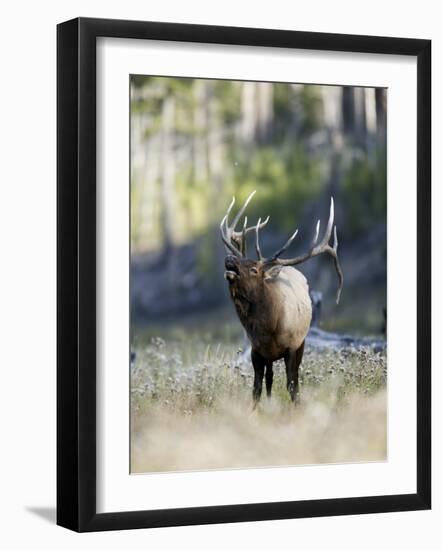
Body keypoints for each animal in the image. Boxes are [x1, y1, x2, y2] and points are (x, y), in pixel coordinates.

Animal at [219, 192, 344, 408]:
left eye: (254, 269)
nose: (230, 259)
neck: (270, 327)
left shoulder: (292, 347)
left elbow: (292, 385)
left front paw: (296, 408)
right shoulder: (256, 350)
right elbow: (256, 388)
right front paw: (255, 411)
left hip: (301, 343)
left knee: (293, 378)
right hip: (269, 356)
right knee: (269, 378)